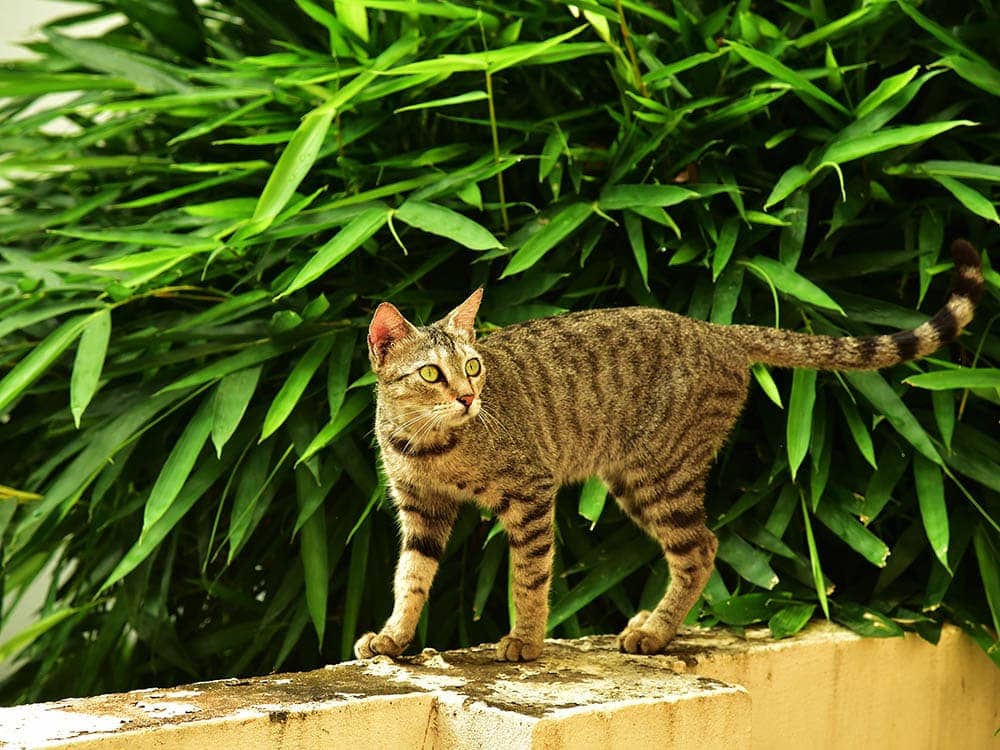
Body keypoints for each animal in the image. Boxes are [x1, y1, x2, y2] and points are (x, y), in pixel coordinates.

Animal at [352, 241, 984, 664]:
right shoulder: (421, 509)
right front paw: (394, 637)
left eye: (474, 366)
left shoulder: (530, 493)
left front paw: (525, 640)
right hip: (638, 482)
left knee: (702, 548)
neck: (428, 444)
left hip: (660, 475)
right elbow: (410, 577)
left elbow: (529, 577)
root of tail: (717, 330)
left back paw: (655, 632)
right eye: (431, 373)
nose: (468, 396)